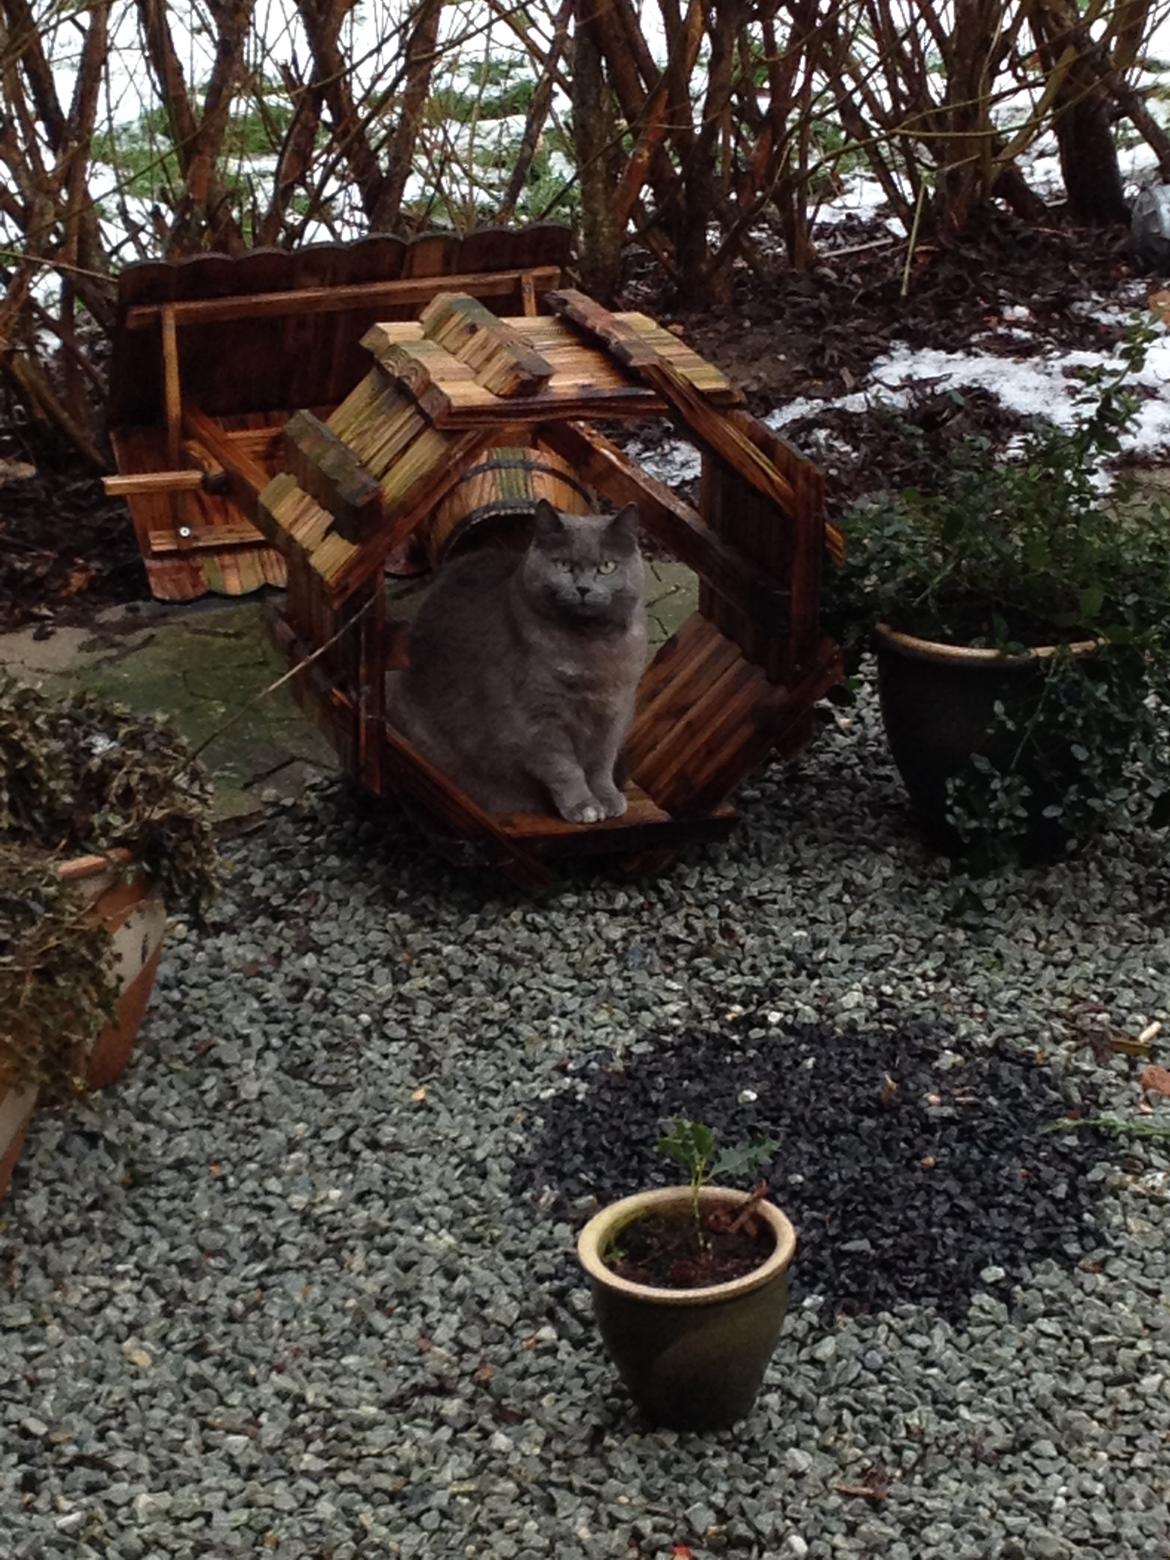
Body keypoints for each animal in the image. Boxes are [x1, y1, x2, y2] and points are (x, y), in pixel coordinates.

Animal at [391, 499, 652, 823]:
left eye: (607, 566)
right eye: (563, 565)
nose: (582, 588)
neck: (589, 650)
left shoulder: (616, 710)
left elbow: (601, 762)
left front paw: (607, 798)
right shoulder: (535, 718)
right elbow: (564, 768)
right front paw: (584, 806)